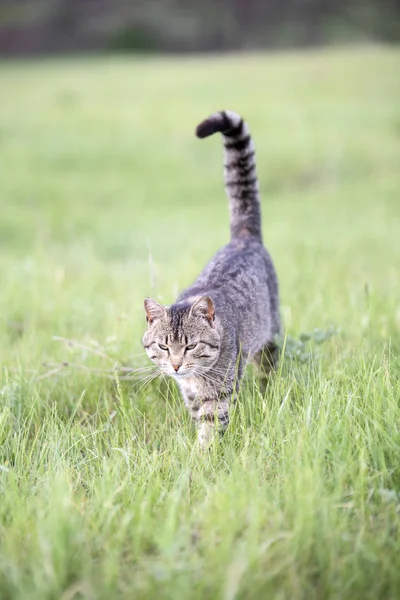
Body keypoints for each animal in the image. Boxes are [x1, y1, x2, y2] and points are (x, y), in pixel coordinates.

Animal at [142, 110, 280, 448]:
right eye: (163, 347)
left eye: (191, 346)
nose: (176, 365)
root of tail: (243, 238)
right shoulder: (190, 394)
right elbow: (196, 416)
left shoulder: (218, 392)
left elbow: (210, 427)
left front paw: (203, 456)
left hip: (271, 335)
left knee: (269, 369)